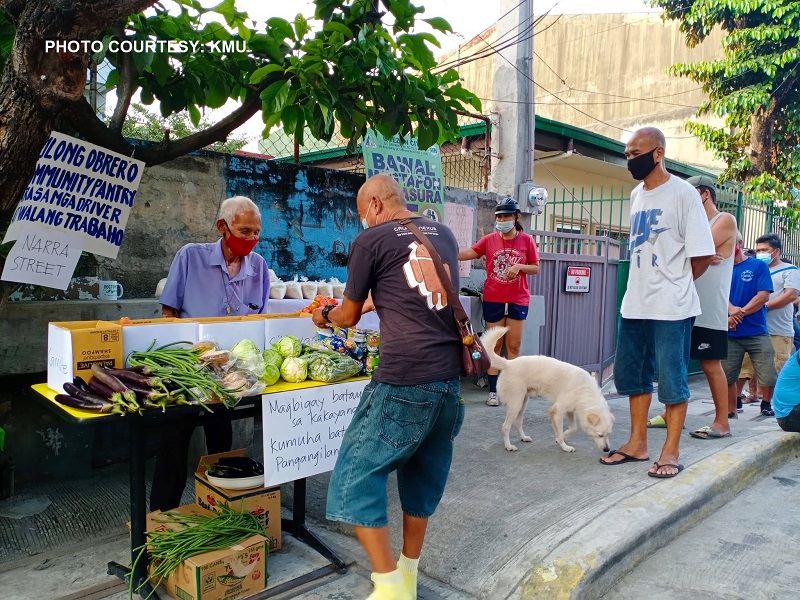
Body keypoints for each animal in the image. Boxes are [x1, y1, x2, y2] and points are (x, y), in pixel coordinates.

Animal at [478, 326, 616, 452]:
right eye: (600, 435)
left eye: (608, 435)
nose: (607, 450)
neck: (583, 389)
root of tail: (509, 363)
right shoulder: (557, 410)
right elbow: (562, 430)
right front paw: (564, 446)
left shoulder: (568, 411)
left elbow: (573, 428)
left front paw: (561, 437)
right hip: (515, 405)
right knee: (505, 427)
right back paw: (508, 446)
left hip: (522, 403)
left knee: (517, 422)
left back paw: (523, 437)